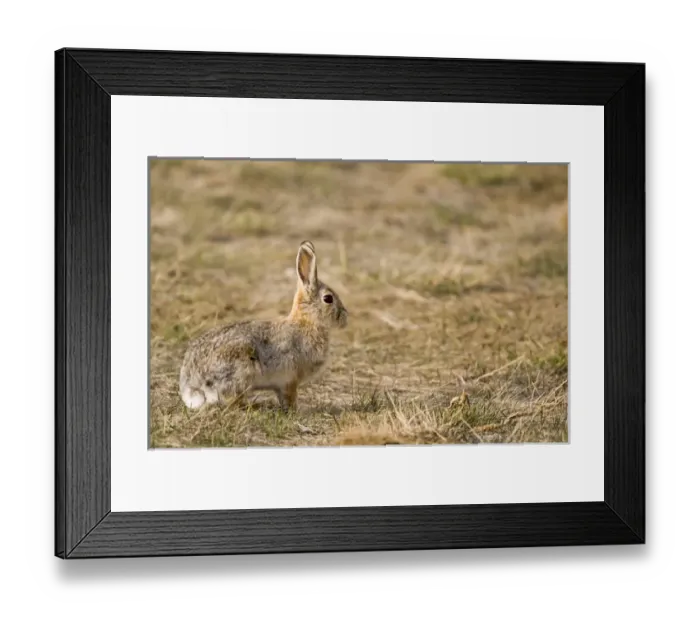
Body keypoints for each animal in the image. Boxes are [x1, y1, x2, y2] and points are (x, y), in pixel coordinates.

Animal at [179, 240, 348, 412]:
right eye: (328, 299)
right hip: (241, 369)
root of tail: (193, 386)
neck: (307, 322)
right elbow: (290, 398)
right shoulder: (289, 380)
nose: (345, 318)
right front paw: (295, 411)